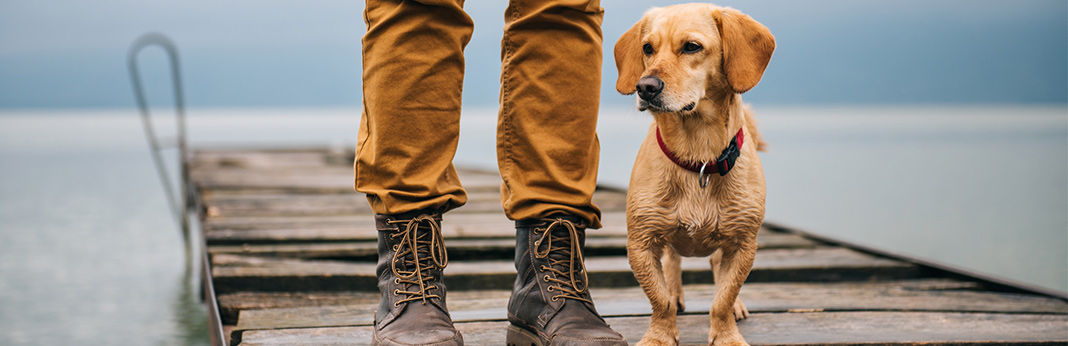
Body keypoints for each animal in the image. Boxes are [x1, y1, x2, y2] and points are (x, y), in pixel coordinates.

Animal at [615, 3, 773, 346]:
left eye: (691, 46)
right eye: (647, 48)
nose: (645, 87)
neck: (697, 158)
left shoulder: (743, 244)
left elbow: (723, 298)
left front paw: (726, 335)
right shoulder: (641, 243)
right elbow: (659, 299)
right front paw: (659, 336)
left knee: (716, 269)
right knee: (672, 264)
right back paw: (676, 295)